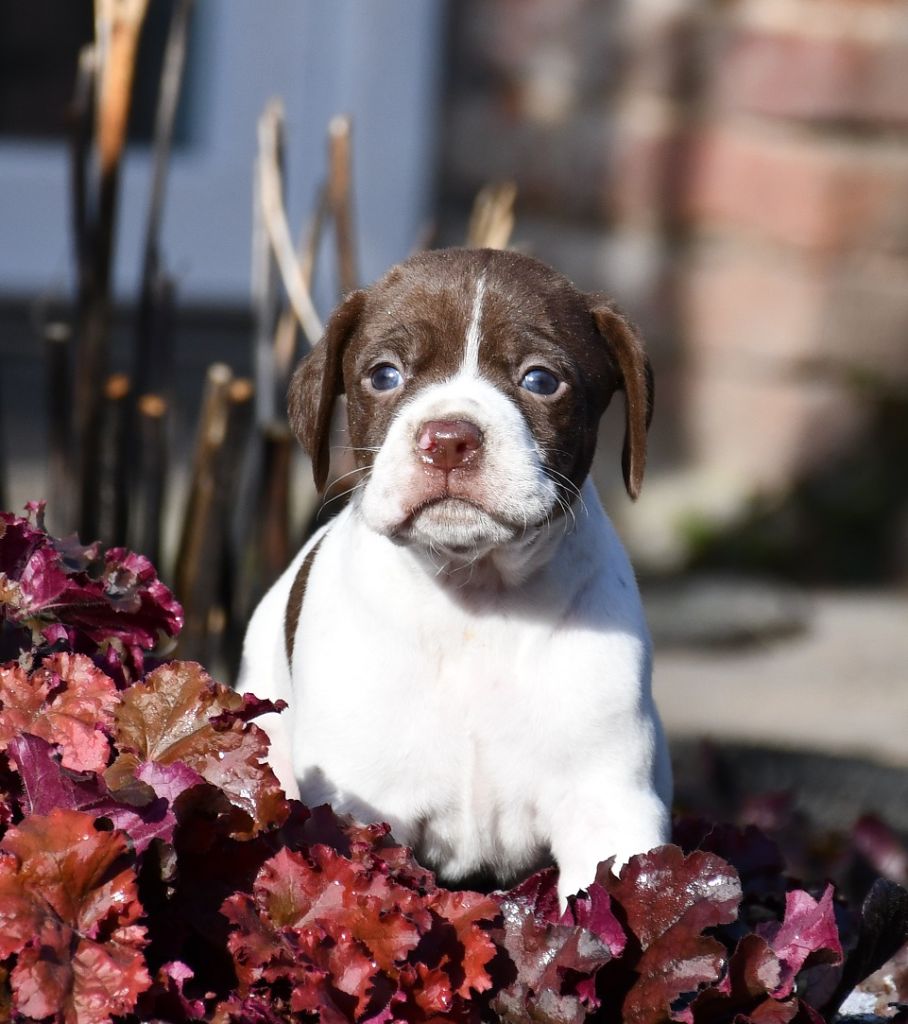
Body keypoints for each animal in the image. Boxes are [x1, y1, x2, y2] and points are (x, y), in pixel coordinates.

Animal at [237, 247, 671, 905]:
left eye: (540, 380)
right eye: (384, 375)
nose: (448, 439)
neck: (475, 594)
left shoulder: (609, 807)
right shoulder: (362, 804)